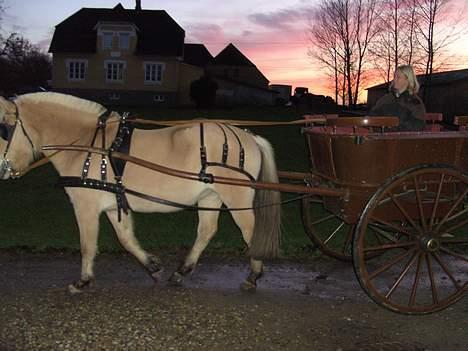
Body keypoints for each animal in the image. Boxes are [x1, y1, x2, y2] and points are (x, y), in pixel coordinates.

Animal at [0, 93, 282, 294]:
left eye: (3, 130)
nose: (2, 171)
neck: (87, 144)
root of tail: (249, 135)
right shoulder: (114, 203)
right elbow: (126, 239)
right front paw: (153, 267)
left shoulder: (85, 205)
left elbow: (87, 245)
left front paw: (82, 281)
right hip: (209, 196)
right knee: (206, 231)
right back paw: (181, 272)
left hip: (235, 195)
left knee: (249, 230)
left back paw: (253, 276)